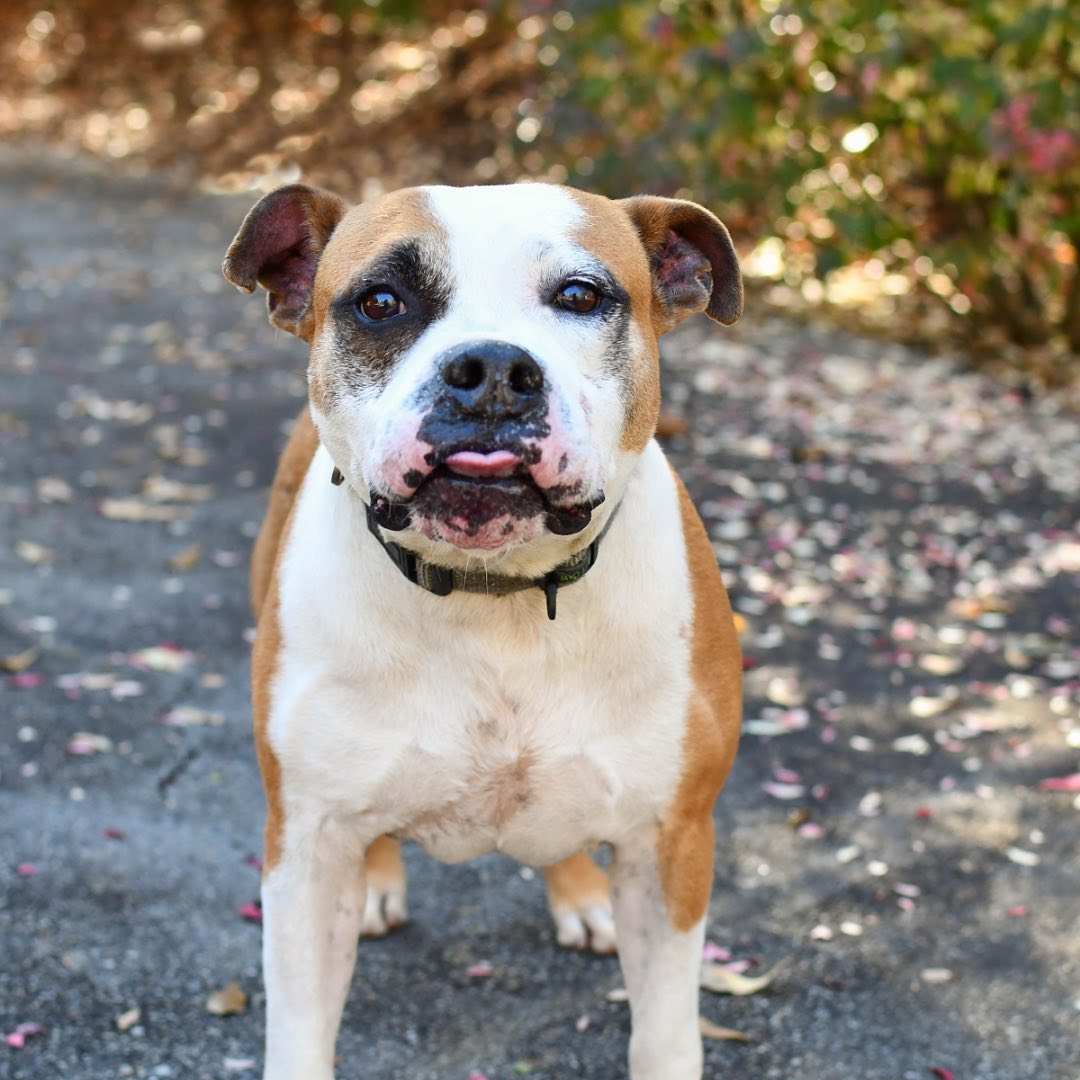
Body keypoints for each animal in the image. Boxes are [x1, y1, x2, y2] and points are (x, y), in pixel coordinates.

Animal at [219, 181, 743, 1075]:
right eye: (381, 302)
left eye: (581, 296)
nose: (492, 370)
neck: (497, 594)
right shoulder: (306, 849)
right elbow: (299, 1032)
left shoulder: (672, 844)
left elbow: (665, 1032)